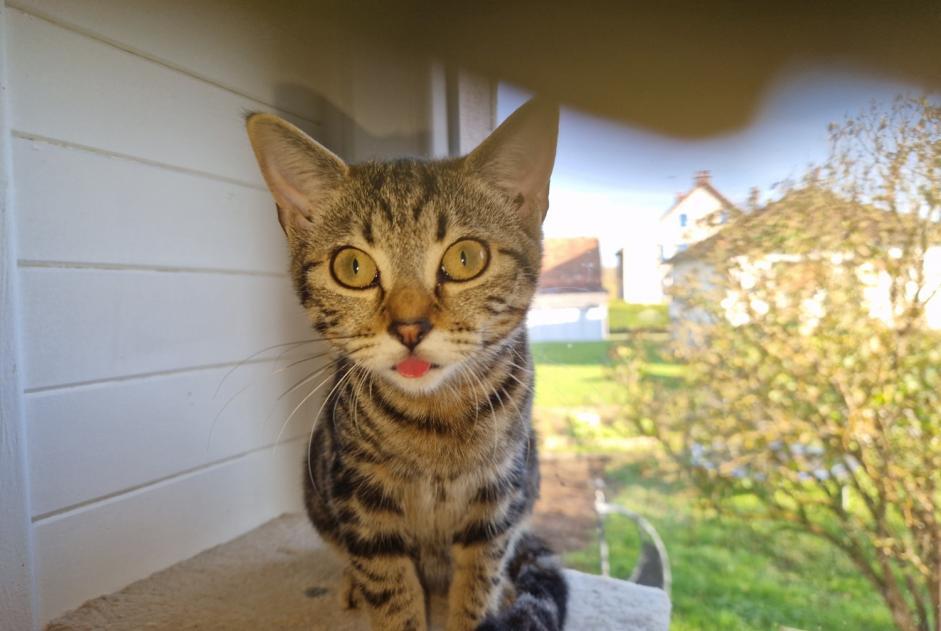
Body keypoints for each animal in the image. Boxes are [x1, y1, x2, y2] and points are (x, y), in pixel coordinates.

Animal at [244, 99, 564, 631]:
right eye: (352, 267)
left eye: (465, 258)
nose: (410, 328)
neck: (437, 420)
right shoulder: (361, 500)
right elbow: (391, 593)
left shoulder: (496, 502)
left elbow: (477, 584)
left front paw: (479, 608)